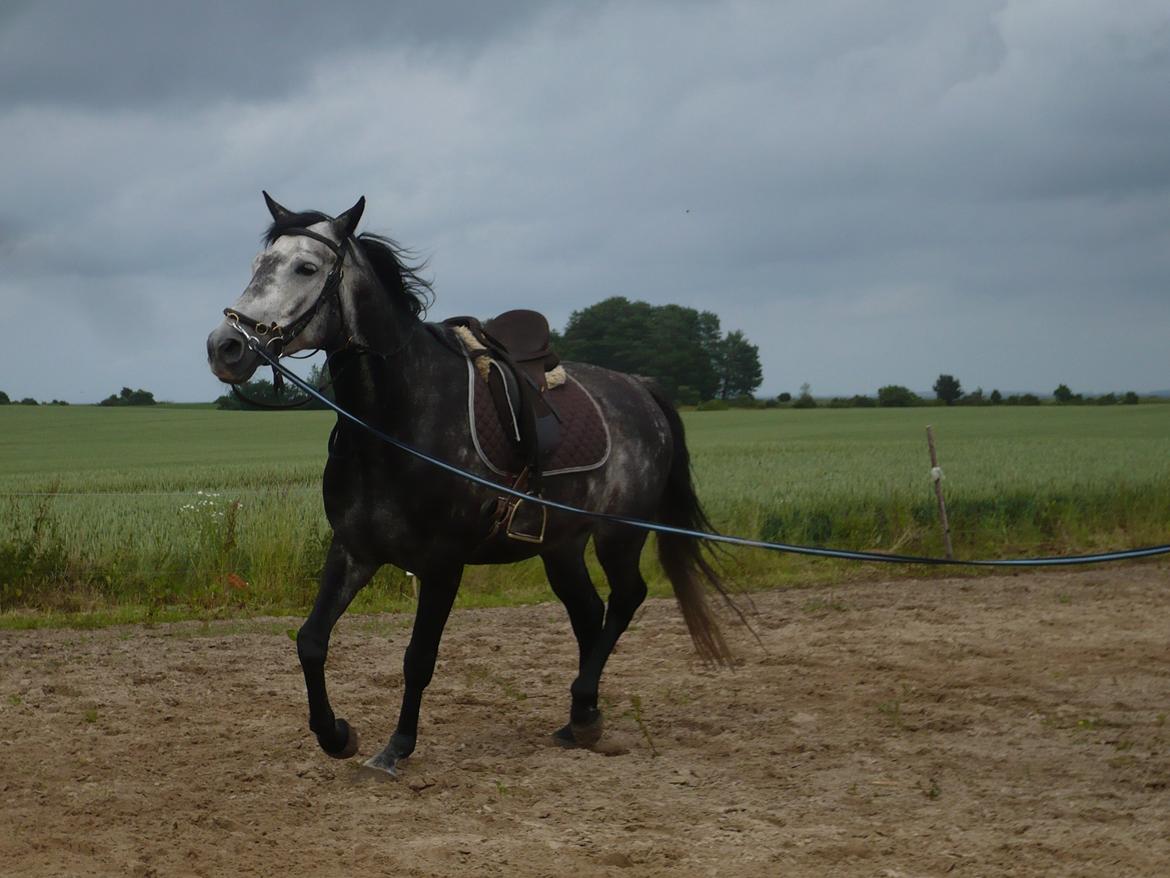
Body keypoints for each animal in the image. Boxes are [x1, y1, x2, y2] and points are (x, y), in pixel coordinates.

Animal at [203, 194, 730, 777]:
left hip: (619, 534)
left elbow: (418, 659)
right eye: (257, 265)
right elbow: (311, 641)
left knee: (625, 599)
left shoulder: (441, 564)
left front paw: (396, 747)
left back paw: (585, 709)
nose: (225, 347)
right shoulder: (354, 549)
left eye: (306, 267)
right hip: (561, 545)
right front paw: (336, 734)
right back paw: (581, 717)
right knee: (589, 611)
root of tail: (641, 388)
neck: (395, 423)